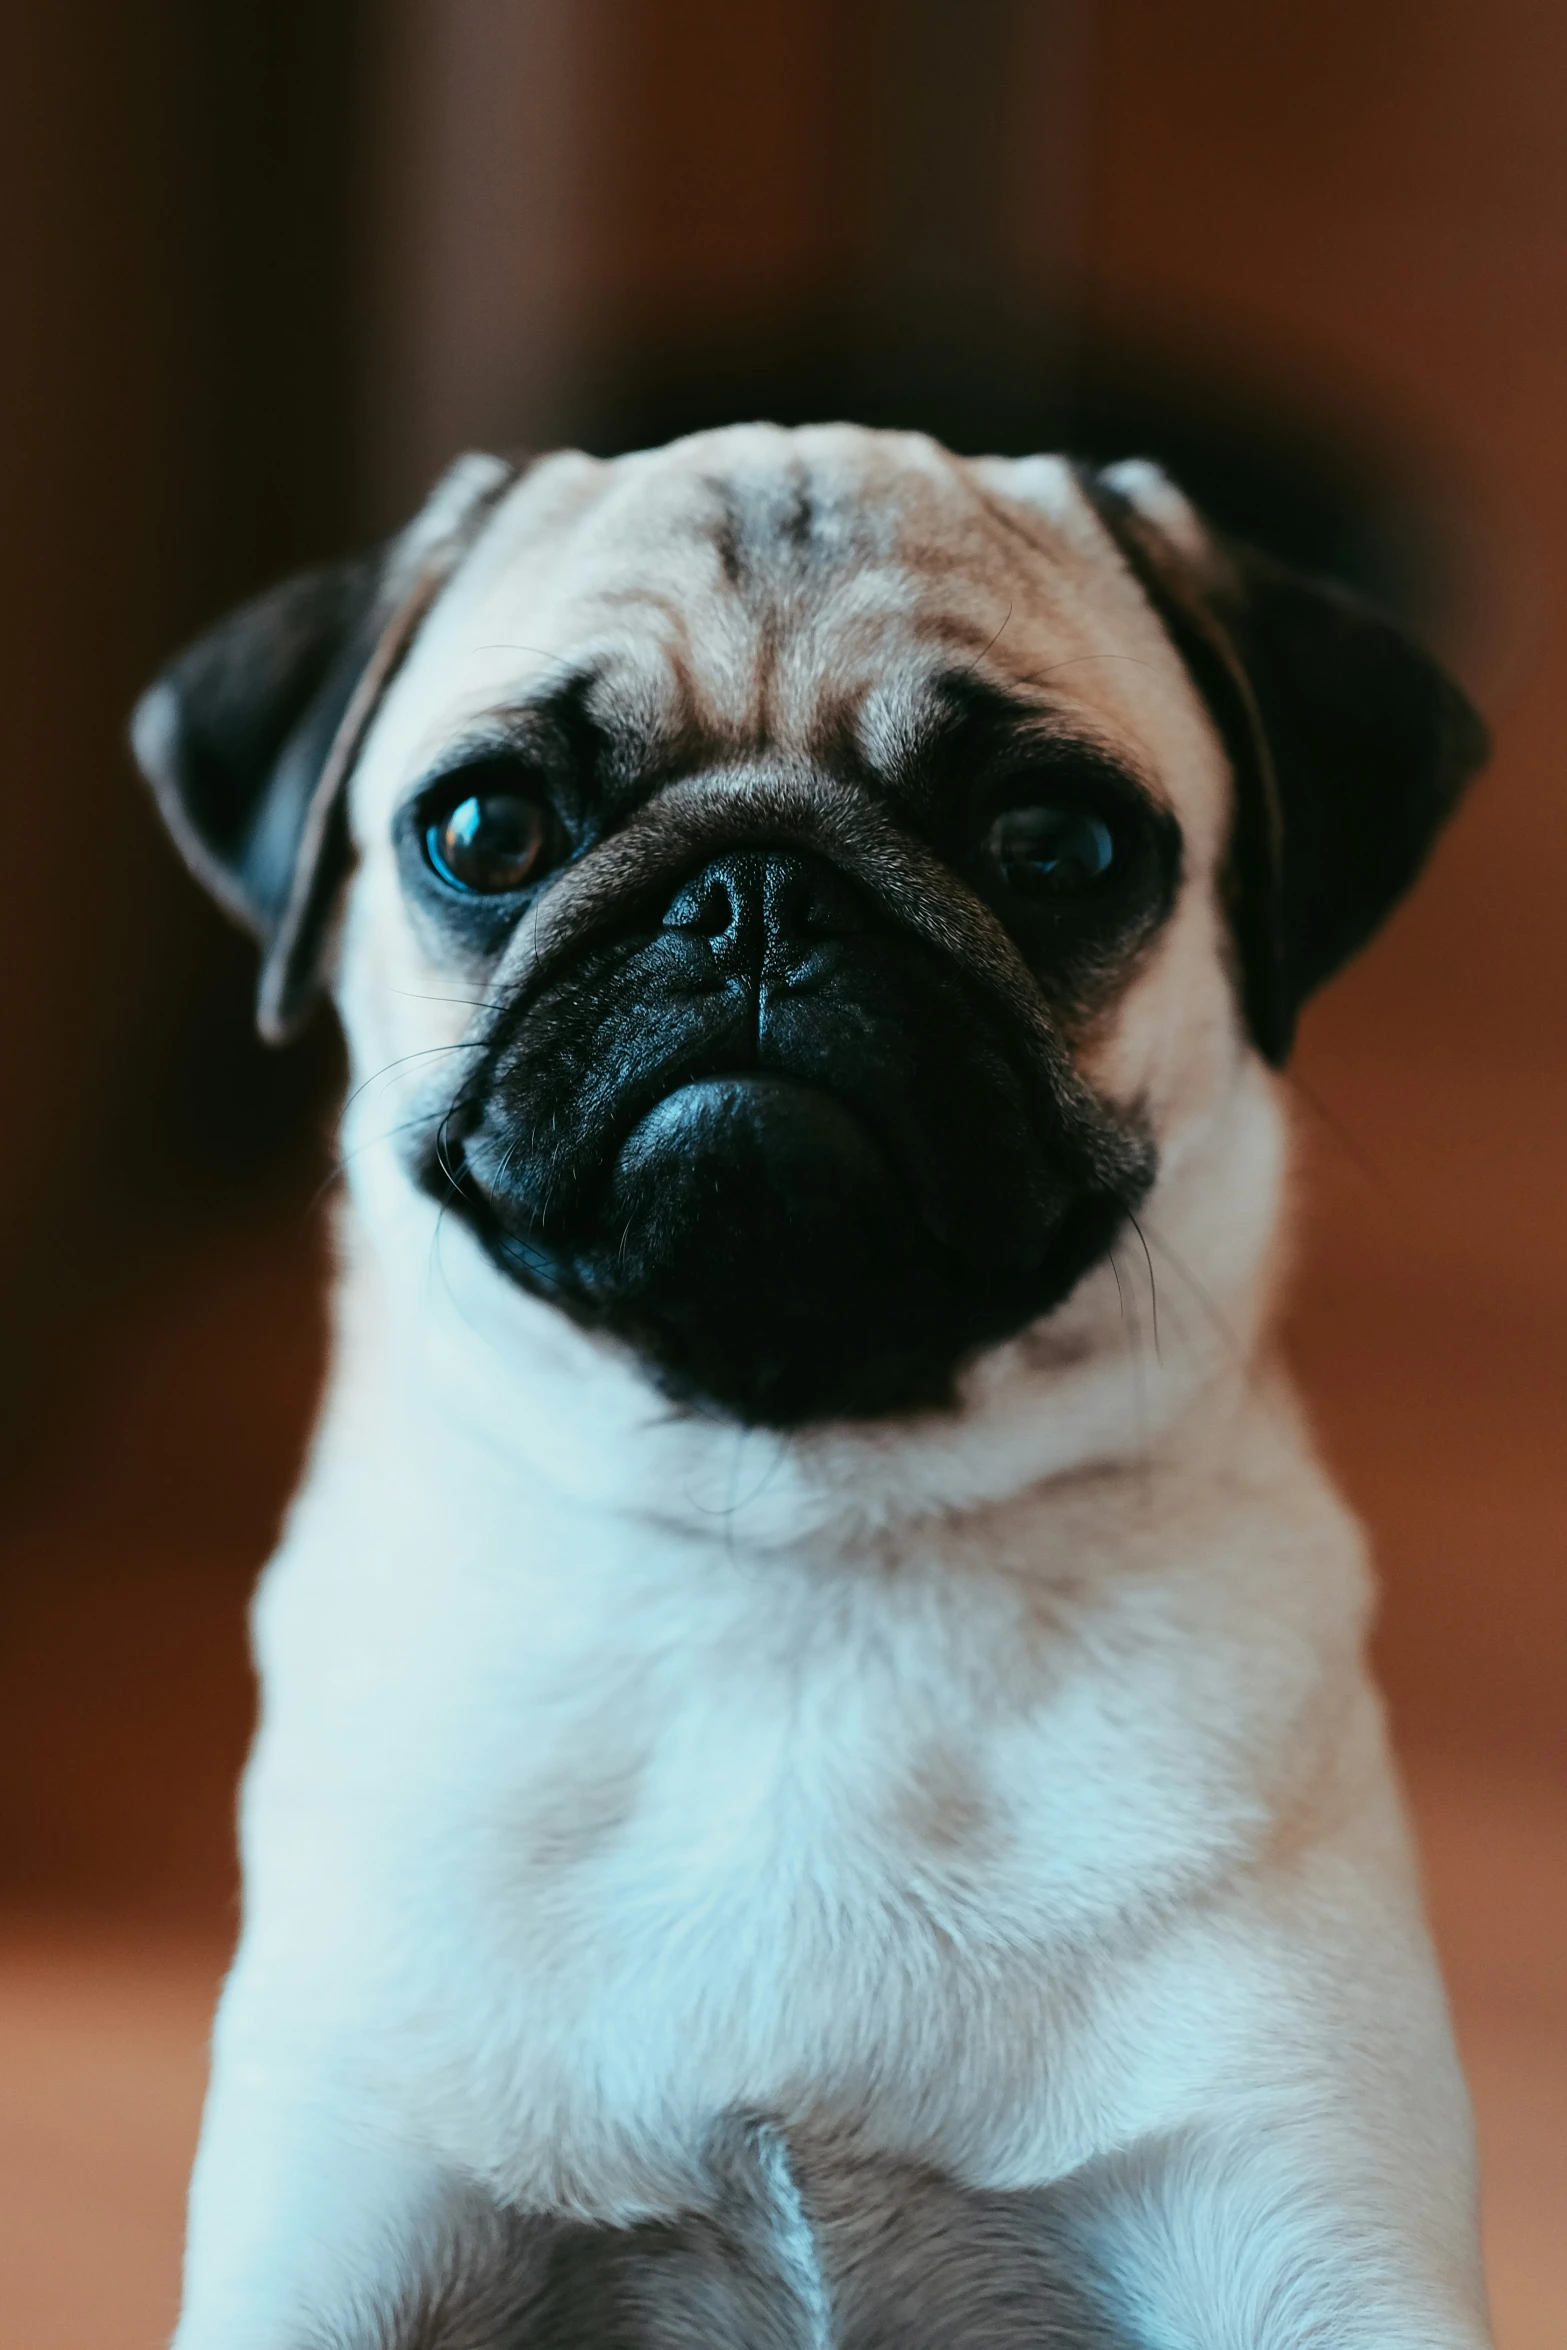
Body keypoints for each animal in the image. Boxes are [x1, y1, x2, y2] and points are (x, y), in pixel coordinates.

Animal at [135, 427, 1494, 2350]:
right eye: (484, 830)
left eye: (1056, 845)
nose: (756, 893)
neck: (791, 1546)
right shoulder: (335, 2253)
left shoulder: (1308, 2236)